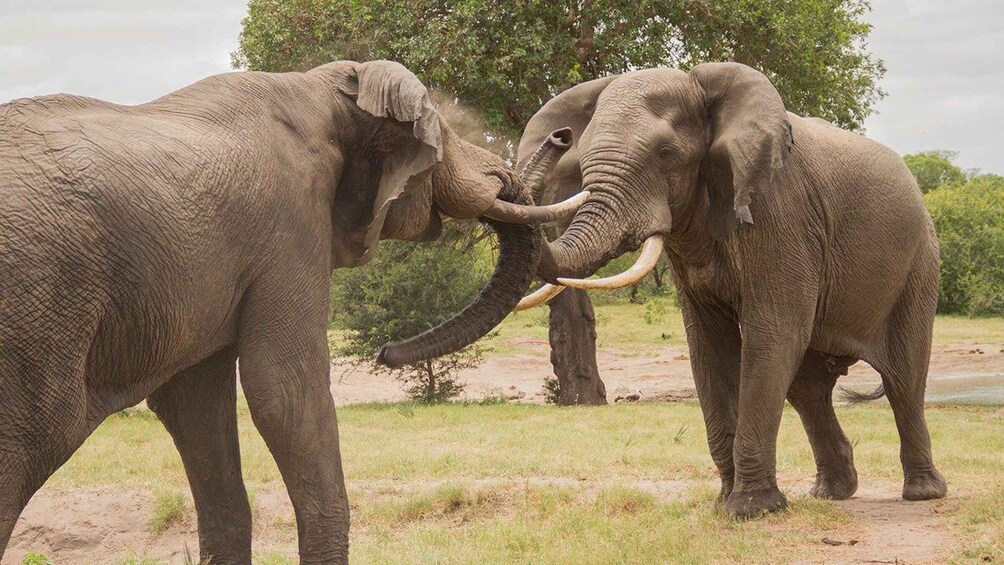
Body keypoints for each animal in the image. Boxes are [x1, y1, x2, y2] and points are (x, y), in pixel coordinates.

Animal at [0, 60, 569, 562]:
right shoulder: (291, 223)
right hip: (39, 311)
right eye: (443, 137)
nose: (562, 137)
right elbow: (287, 393)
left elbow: (194, 408)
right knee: (35, 437)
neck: (326, 87)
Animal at [508, 62, 948, 518]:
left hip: (918, 263)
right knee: (808, 388)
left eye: (665, 154)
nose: (559, 137)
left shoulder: (780, 214)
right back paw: (831, 492)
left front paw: (750, 510)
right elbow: (708, 346)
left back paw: (923, 493)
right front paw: (726, 504)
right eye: (582, 159)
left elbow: (771, 335)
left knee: (903, 378)